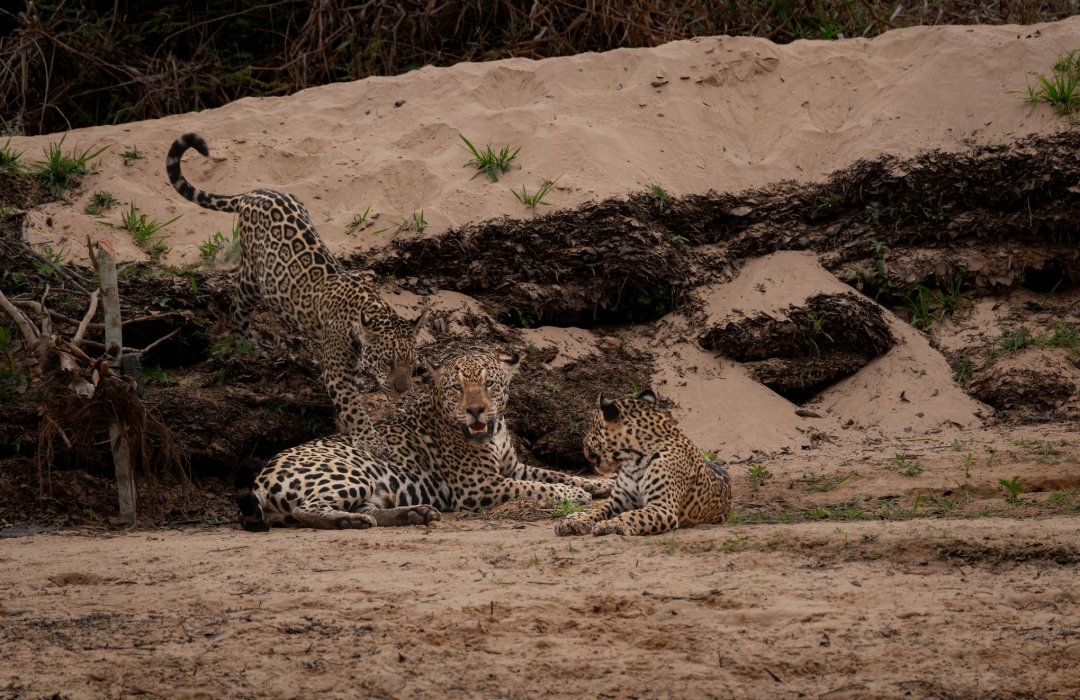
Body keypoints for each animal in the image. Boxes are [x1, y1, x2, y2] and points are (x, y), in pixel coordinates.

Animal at [167, 133, 426, 455]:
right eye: (387, 361)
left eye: (411, 363)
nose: (403, 390)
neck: (366, 310)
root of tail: (253, 193)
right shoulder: (338, 376)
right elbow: (355, 409)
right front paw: (370, 440)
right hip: (254, 278)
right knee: (237, 306)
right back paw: (246, 346)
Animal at [234, 352, 613, 530]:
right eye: (456, 388)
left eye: (489, 384)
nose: (476, 410)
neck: (495, 431)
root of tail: (262, 477)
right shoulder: (479, 485)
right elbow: (536, 488)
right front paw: (572, 494)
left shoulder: (513, 468)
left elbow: (554, 474)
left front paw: (599, 483)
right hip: (353, 472)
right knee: (306, 509)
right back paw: (349, 522)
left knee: (367, 508)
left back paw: (414, 513)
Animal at [555, 390, 731, 537]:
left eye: (592, 426)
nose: (583, 443)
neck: (634, 460)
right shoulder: (616, 503)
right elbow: (597, 511)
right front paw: (577, 522)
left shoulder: (663, 507)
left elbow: (632, 515)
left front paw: (610, 524)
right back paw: (572, 516)